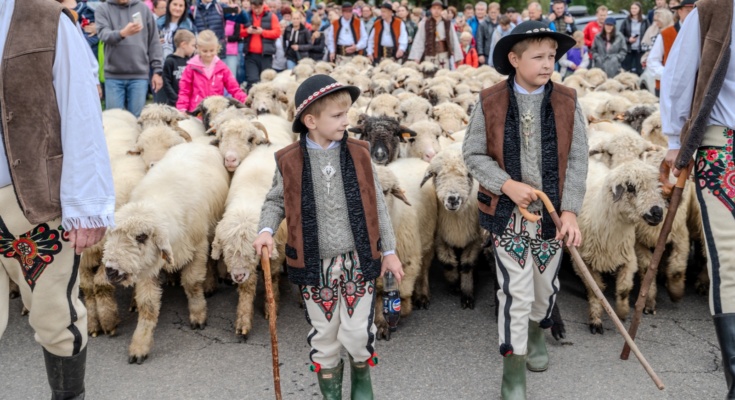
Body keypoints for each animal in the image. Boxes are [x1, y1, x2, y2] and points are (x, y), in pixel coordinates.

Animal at [102, 143, 230, 362]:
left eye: (141, 237)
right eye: (111, 234)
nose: (111, 270)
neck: (158, 200)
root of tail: (197, 143)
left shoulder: (198, 248)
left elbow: (192, 283)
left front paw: (198, 314)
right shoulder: (147, 267)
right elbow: (148, 305)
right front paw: (140, 344)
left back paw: (209, 283)